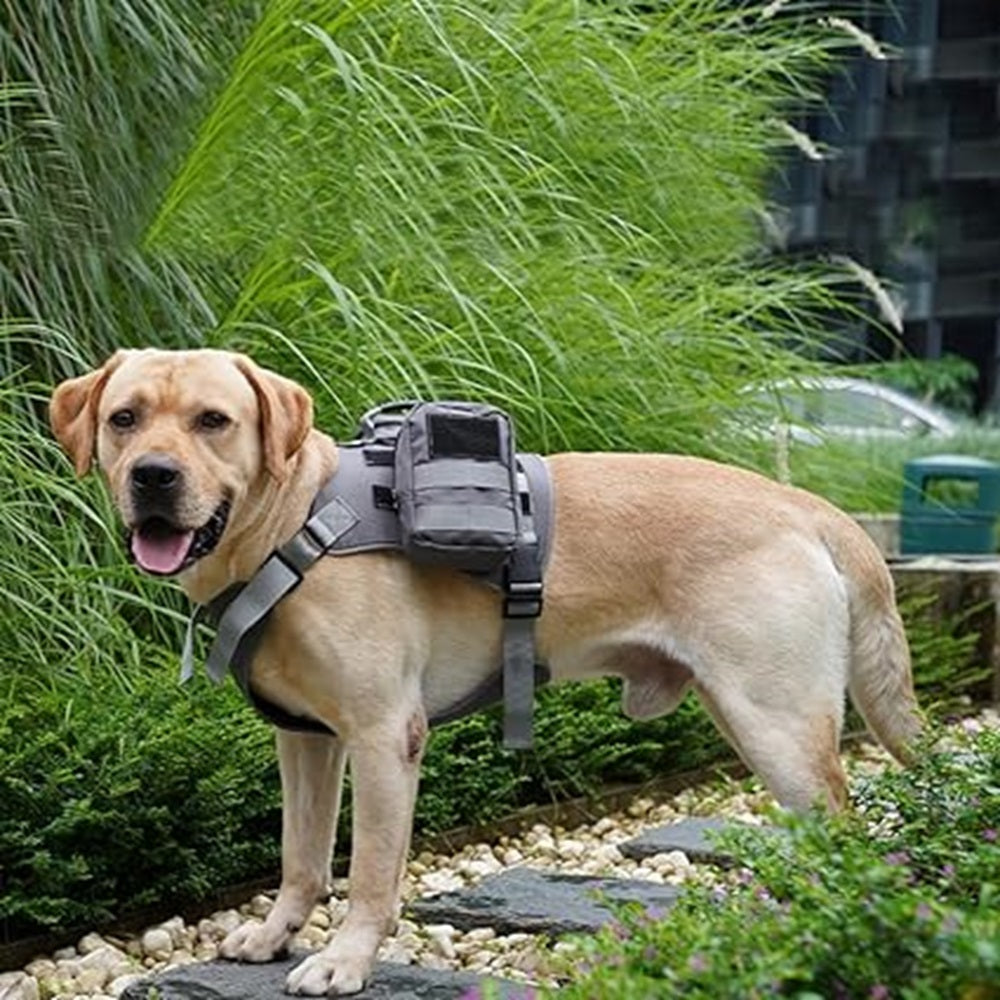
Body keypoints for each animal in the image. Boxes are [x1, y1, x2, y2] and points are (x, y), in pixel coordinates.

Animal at [48, 350, 920, 992]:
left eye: (214, 421)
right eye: (125, 418)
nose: (152, 476)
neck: (296, 526)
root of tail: (810, 507)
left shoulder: (382, 737)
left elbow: (369, 872)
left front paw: (345, 960)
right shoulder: (305, 739)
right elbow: (302, 857)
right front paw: (273, 934)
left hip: (775, 724)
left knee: (846, 834)